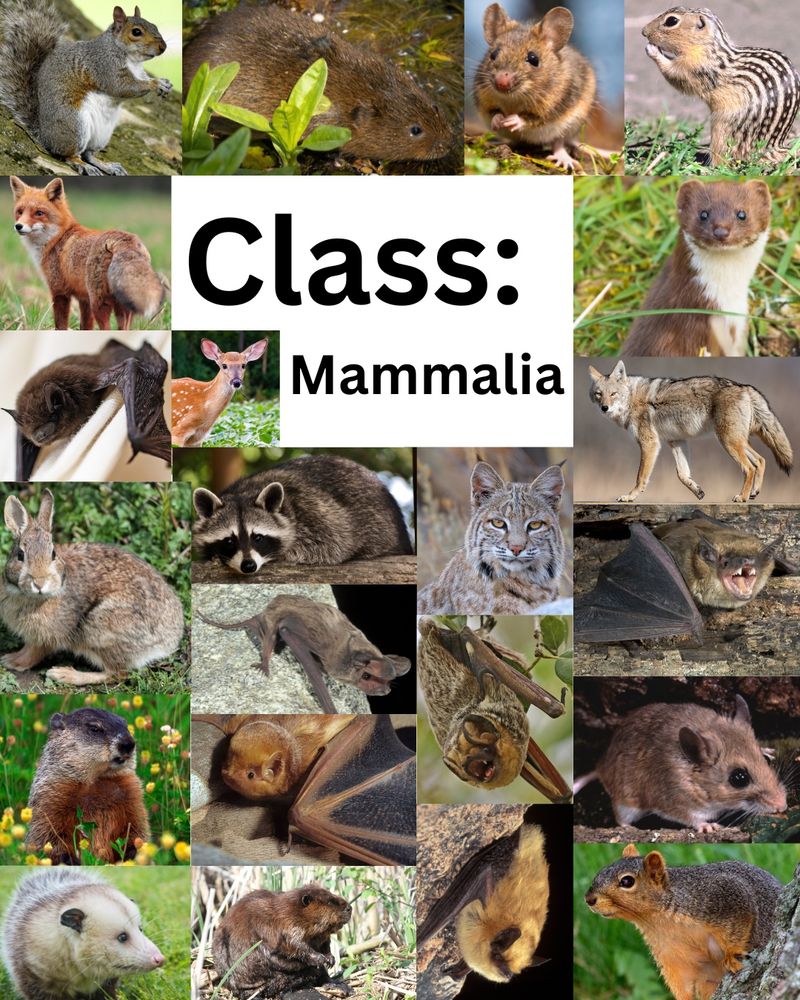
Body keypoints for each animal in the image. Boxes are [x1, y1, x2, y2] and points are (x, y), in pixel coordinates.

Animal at [0, 2, 172, 176]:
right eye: (136, 32)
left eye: (154, 25)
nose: (163, 47)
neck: (131, 59)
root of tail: (44, 135)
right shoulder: (105, 67)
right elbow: (123, 87)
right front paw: (155, 84)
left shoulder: (138, 73)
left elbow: (142, 80)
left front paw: (164, 83)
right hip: (74, 126)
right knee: (67, 154)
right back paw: (82, 165)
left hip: (101, 135)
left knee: (88, 154)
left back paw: (107, 166)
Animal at [26, 708, 150, 865]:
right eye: (94, 728)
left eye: (126, 725)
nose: (129, 744)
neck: (96, 780)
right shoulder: (51, 792)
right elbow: (47, 830)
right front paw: (69, 859)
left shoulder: (132, 792)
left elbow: (137, 824)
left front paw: (133, 852)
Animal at [193, 454, 413, 574]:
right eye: (229, 540)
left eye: (258, 537)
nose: (249, 566)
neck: (245, 492)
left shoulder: (316, 511)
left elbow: (335, 543)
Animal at [585, 844, 783, 1000]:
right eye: (600, 872)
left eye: (627, 881)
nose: (588, 899)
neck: (656, 921)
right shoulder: (671, 953)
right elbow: (681, 981)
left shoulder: (726, 897)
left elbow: (739, 926)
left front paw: (731, 956)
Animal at [642, 6, 800, 167]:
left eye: (671, 21)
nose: (644, 31)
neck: (708, 47)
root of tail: (773, 147)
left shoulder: (697, 69)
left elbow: (676, 76)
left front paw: (652, 50)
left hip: (722, 130)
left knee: (722, 158)